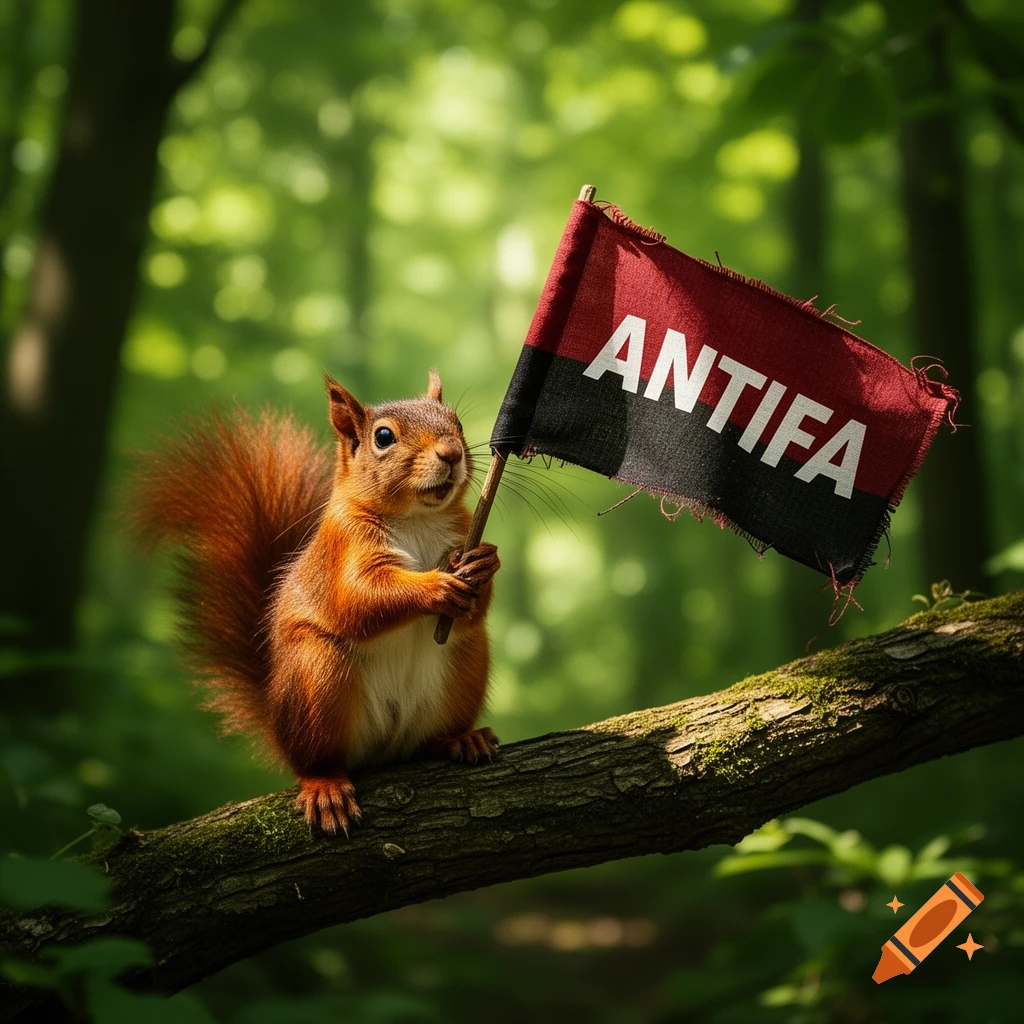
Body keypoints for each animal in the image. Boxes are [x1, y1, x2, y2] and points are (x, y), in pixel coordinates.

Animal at [132, 370, 500, 835]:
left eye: (458, 424)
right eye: (383, 437)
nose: (451, 453)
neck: (417, 518)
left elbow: (470, 613)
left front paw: (485, 561)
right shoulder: (342, 551)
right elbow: (360, 601)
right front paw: (435, 586)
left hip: (467, 663)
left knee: (433, 728)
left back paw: (458, 737)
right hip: (317, 677)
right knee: (315, 759)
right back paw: (324, 784)